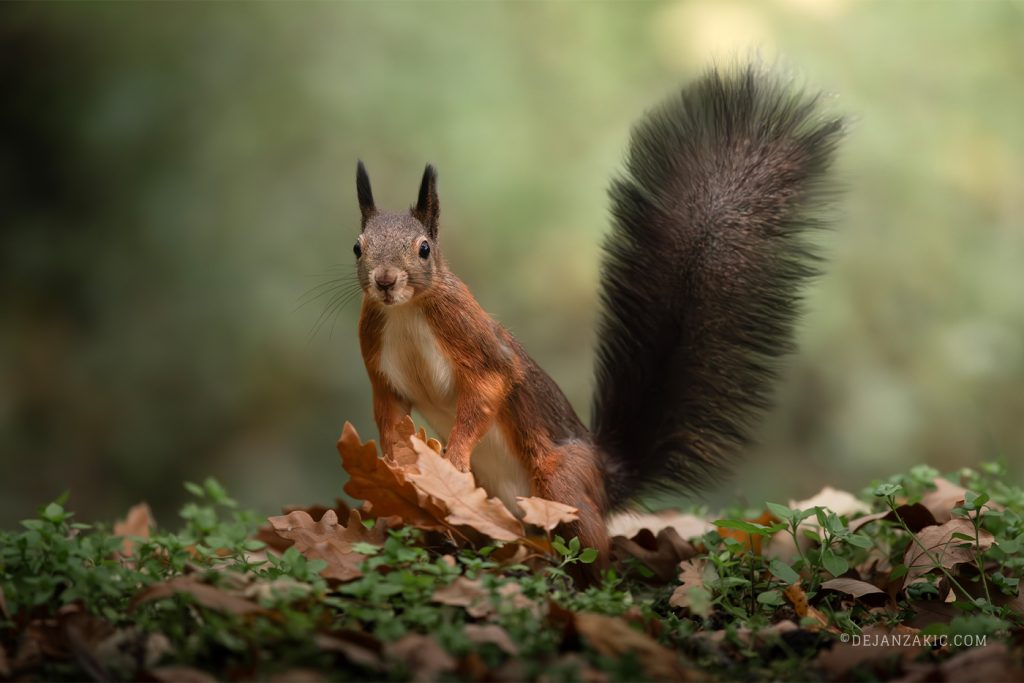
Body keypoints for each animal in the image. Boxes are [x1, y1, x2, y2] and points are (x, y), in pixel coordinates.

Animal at [351, 66, 843, 570]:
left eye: (423, 249)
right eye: (357, 247)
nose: (385, 281)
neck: (407, 311)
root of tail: (606, 481)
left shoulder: (472, 336)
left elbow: (489, 385)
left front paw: (453, 457)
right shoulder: (378, 362)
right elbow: (390, 414)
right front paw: (393, 464)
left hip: (561, 480)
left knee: (591, 543)